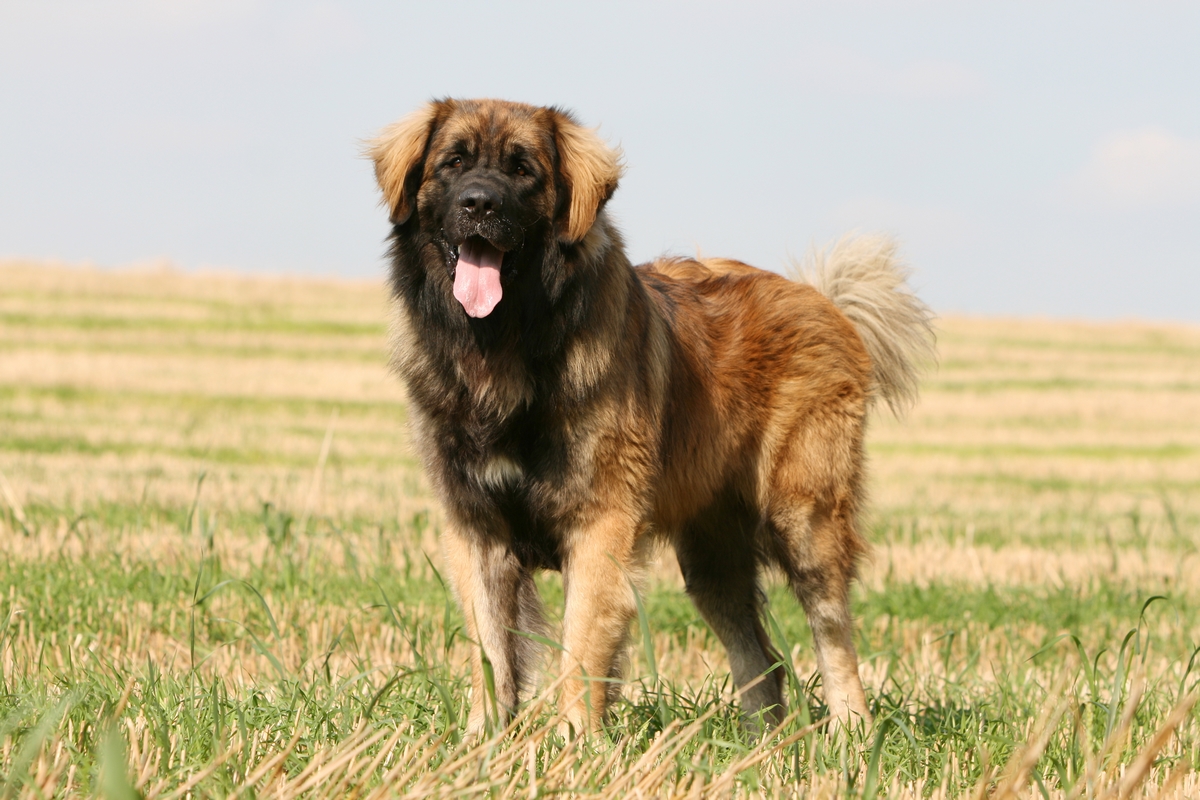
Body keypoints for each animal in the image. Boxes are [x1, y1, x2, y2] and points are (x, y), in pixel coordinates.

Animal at [369, 97, 931, 734]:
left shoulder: (601, 523)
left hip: (806, 519)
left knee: (833, 632)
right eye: (454, 163)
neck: (505, 346)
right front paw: (482, 740)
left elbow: (580, 648)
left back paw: (851, 732)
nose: (480, 204)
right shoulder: (477, 528)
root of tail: (824, 301)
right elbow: (490, 652)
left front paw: (573, 740)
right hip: (712, 553)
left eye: (522, 170)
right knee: (760, 657)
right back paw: (756, 742)